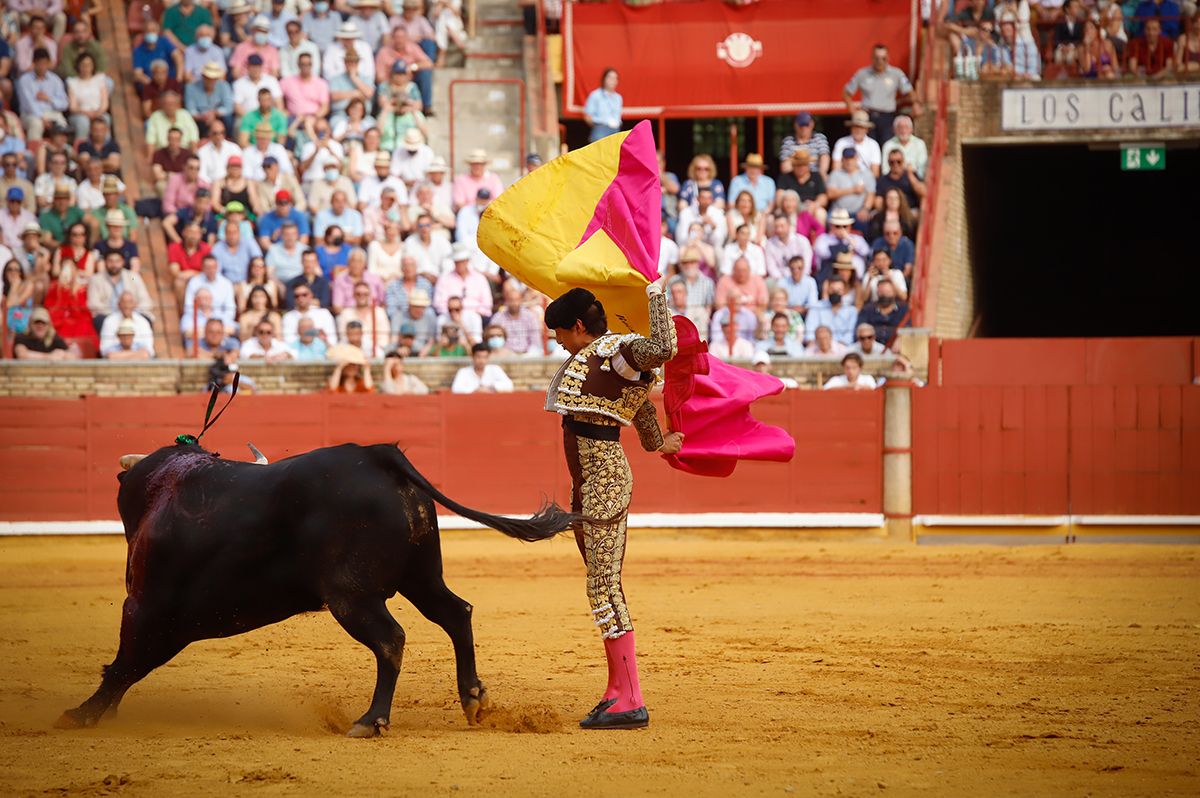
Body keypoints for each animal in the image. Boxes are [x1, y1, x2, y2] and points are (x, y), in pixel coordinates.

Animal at [56, 441, 576, 734]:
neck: (160, 490)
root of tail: (375, 454)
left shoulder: (146, 606)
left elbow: (125, 663)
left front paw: (82, 714)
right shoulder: (171, 622)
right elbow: (131, 665)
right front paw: (101, 712)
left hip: (352, 596)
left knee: (391, 639)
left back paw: (370, 720)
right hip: (421, 576)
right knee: (455, 613)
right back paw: (472, 699)